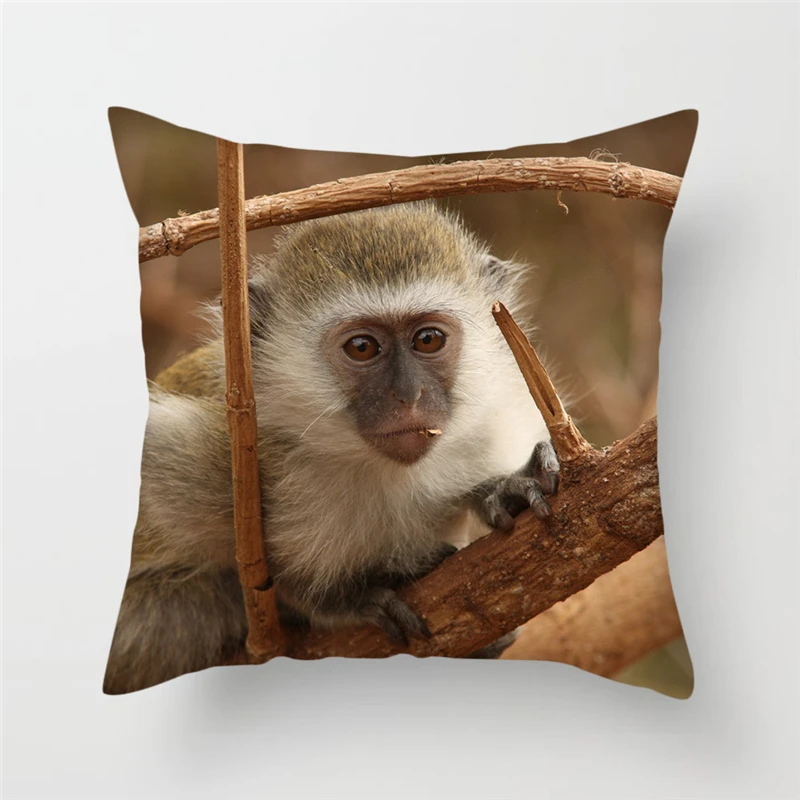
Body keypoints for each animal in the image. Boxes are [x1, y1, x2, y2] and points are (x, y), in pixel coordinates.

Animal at [103, 201, 560, 694]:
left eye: (428, 339)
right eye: (362, 347)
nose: (409, 396)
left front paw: (500, 489)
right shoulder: (210, 450)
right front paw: (353, 594)